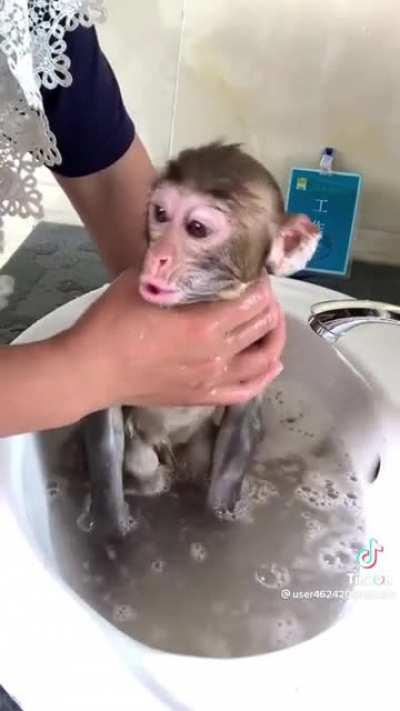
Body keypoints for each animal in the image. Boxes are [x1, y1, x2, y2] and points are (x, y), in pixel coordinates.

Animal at [83, 142, 320, 539]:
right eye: (161, 214)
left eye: (196, 228)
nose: (157, 256)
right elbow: (106, 429)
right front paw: (113, 534)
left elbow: (237, 433)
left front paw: (217, 519)